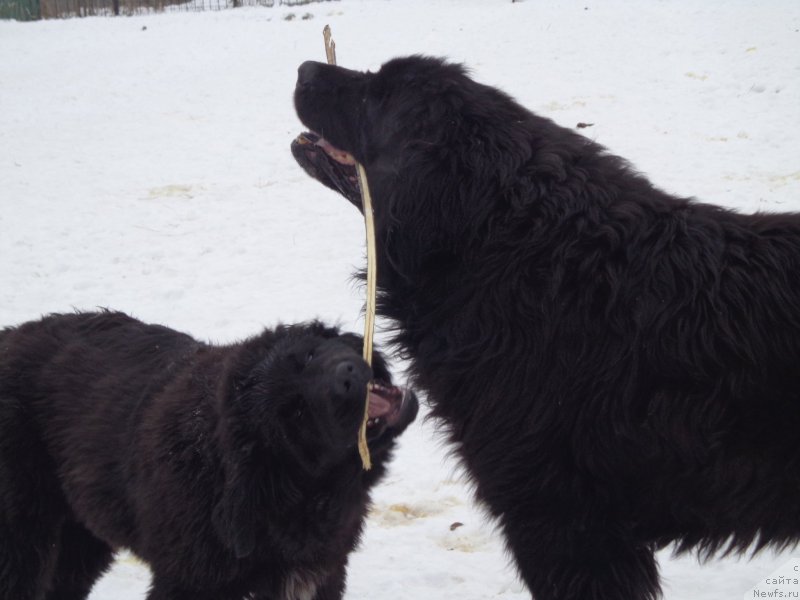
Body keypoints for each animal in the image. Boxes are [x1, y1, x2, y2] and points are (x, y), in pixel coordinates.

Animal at [0, 312, 422, 596]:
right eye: (296, 412)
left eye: (308, 357)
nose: (346, 377)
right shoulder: (187, 584)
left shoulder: (324, 575)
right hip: (24, 536)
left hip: (82, 534)